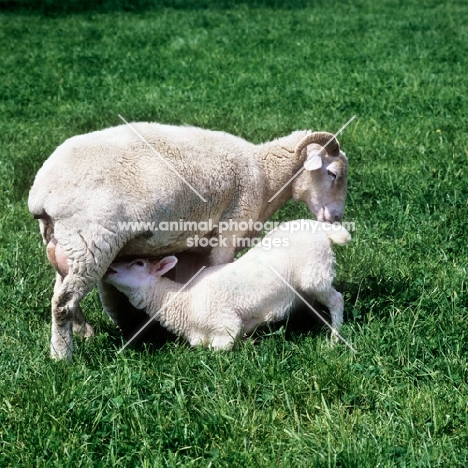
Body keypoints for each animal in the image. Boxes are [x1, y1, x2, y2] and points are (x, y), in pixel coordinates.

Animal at [103, 221, 352, 350]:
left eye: (139, 263)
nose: (109, 268)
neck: (184, 301)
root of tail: (319, 227)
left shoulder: (226, 324)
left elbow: (218, 348)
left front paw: (249, 344)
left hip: (315, 273)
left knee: (336, 299)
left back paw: (334, 338)